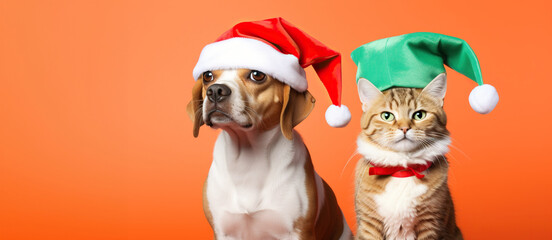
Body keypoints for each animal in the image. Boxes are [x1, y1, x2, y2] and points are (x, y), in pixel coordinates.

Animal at [188, 68, 352, 239]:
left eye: (257, 75)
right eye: (207, 76)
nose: (215, 91)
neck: (248, 160)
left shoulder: (300, 232)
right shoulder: (224, 231)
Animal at [354, 74, 462, 239]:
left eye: (419, 115)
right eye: (387, 116)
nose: (404, 128)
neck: (402, 171)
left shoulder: (430, 223)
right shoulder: (369, 224)